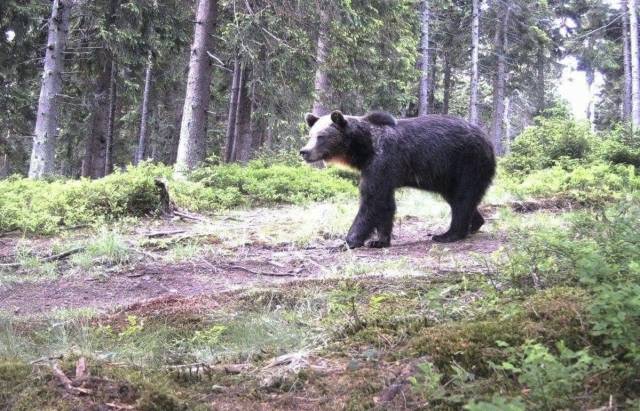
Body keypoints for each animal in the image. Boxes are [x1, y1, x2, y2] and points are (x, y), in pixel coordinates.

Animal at [300, 110, 496, 248]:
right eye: (310, 135)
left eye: (321, 136)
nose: (304, 151)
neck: (364, 148)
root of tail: (488, 140)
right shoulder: (379, 170)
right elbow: (385, 203)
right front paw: (379, 240)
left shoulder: (383, 159)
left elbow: (371, 201)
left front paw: (347, 241)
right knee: (458, 199)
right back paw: (474, 224)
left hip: (466, 163)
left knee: (463, 197)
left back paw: (448, 234)